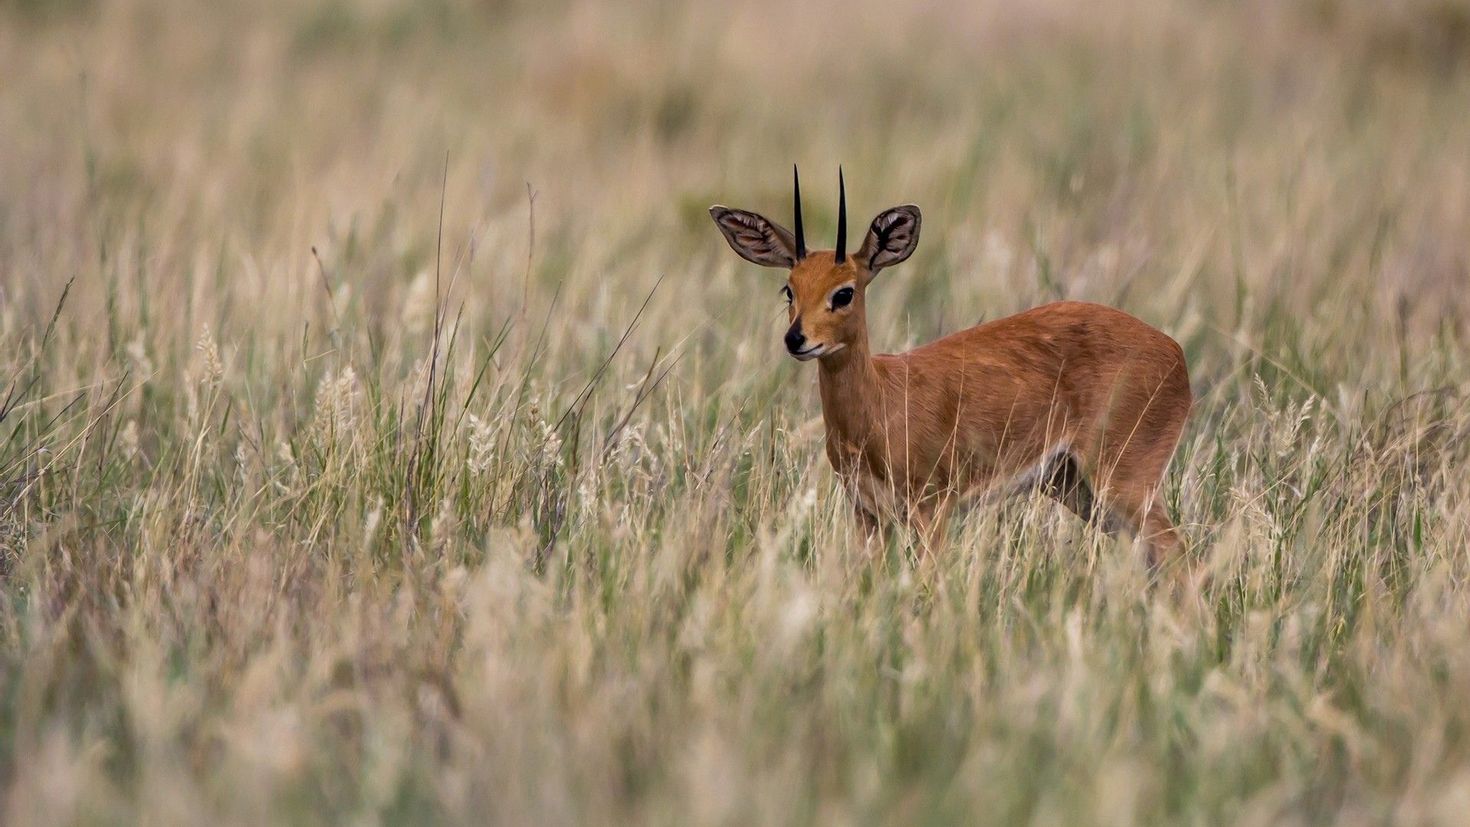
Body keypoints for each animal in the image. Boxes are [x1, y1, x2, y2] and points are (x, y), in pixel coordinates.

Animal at [711, 168, 1193, 569]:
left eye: (844, 292)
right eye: (789, 288)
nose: (796, 339)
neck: (880, 404)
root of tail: (1176, 353)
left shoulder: (932, 509)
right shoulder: (867, 514)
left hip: (1123, 480)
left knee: (1176, 551)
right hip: (1077, 487)